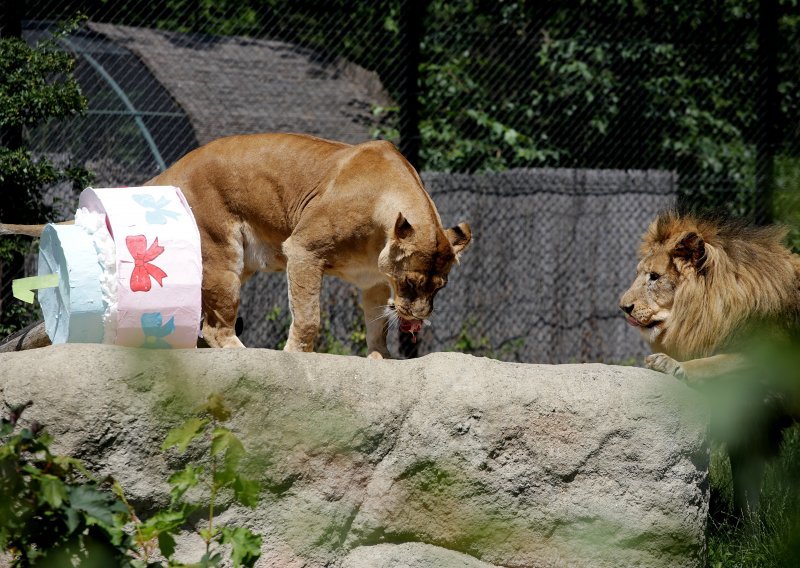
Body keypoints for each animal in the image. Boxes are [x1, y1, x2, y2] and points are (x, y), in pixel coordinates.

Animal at [0, 133, 472, 358]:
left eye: (439, 288)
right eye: (411, 284)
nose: (418, 317)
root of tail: (173, 169)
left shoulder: (374, 282)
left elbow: (376, 324)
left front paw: (380, 357)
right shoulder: (304, 249)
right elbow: (309, 317)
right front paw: (295, 355)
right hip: (222, 255)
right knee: (215, 328)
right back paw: (246, 354)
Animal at [620, 211, 796, 512]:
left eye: (654, 277)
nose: (623, 307)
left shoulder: (773, 364)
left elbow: (718, 361)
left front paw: (670, 364)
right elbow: (746, 484)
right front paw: (748, 522)